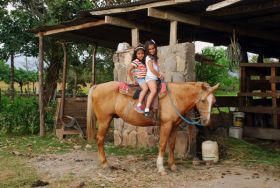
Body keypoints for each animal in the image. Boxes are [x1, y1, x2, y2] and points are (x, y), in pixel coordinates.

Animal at [86, 81, 220, 175]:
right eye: (203, 100)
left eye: (214, 102)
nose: (206, 121)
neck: (175, 97)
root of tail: (97, 86)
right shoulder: (166, 125)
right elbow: (163, 144)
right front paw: (161, 168)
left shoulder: (174, 126)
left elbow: (172, 145)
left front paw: (172, 166)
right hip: (104, 120)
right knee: (100, 139)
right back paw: (105, 164)